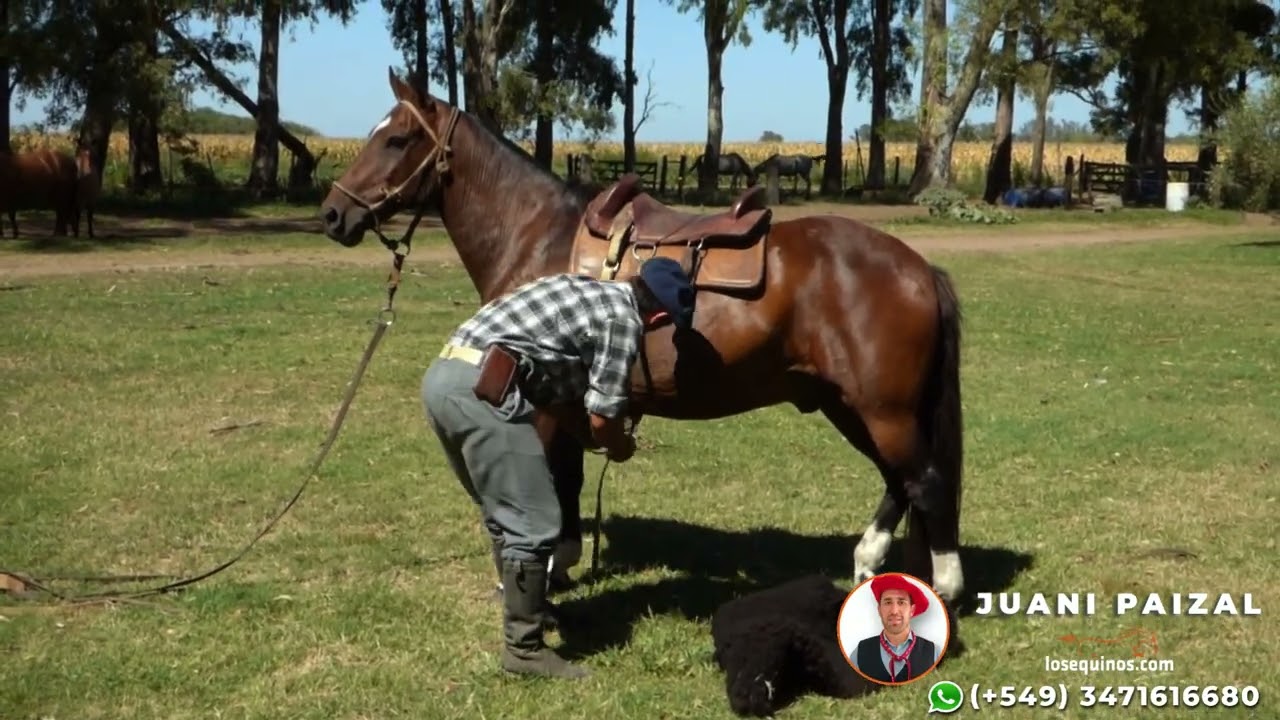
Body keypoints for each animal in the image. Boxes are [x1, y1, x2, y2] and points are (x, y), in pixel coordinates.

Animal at [318, 69, 967, 607]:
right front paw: (565, 558)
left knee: (925, 483)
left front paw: (543, 568)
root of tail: (918, 268)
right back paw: (868, 564)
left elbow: (554, 479)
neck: (536, 235)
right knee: (899, 482)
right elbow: (570, 478)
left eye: (397, 140)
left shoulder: (543, 402)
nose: (331, 214)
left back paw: (945, 585)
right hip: (848, 405)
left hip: (881, 409)